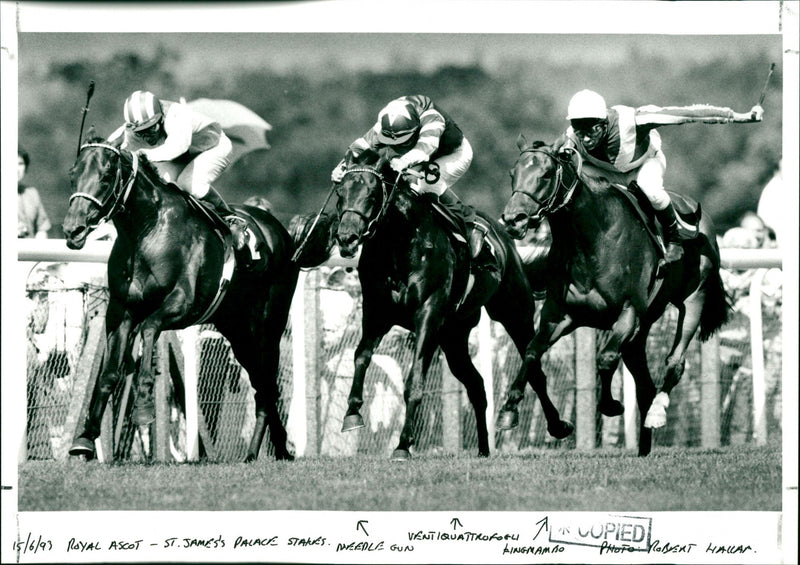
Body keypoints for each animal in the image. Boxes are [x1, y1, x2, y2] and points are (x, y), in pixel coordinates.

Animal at [62, 135, 298, 458]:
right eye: (73, 174)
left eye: (107, 176)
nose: (73, 229)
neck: (147, 231)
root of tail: (279, 230)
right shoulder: (121, 311)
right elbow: (108, 373)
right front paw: (84, 439)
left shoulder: (183, 303)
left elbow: (150, 328)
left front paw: (145, 404)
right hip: (237, 331)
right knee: (262, 383)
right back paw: (278, 448)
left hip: (267, 327)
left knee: (267, 386)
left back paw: (256, 451)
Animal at [334, 149, 572, 458]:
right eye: (340, 193)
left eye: (372, 193)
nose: (346, 238)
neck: (400, 245)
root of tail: (506, 239)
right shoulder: (376, 314)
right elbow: (360, 357)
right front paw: (352, 413)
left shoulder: (427, 314)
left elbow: (414, 381)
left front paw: (403, 444)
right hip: (453, 337)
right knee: (477, 385)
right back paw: (483, 448)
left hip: (515, 314)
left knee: (536, 371)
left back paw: (554, 425)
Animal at [500, 135, 732, 454]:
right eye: (513, 173)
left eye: (546, 174)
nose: (514, 219)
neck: (590, 240)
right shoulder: (560, 315)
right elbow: (532, 353)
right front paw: (511, 409)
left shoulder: (628, 312)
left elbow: (606, 358)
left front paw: (610, 405)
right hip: (641, 332)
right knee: (645, 386)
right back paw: (644, 447)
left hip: (693, 298)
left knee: (674, 362)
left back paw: (658, 412)